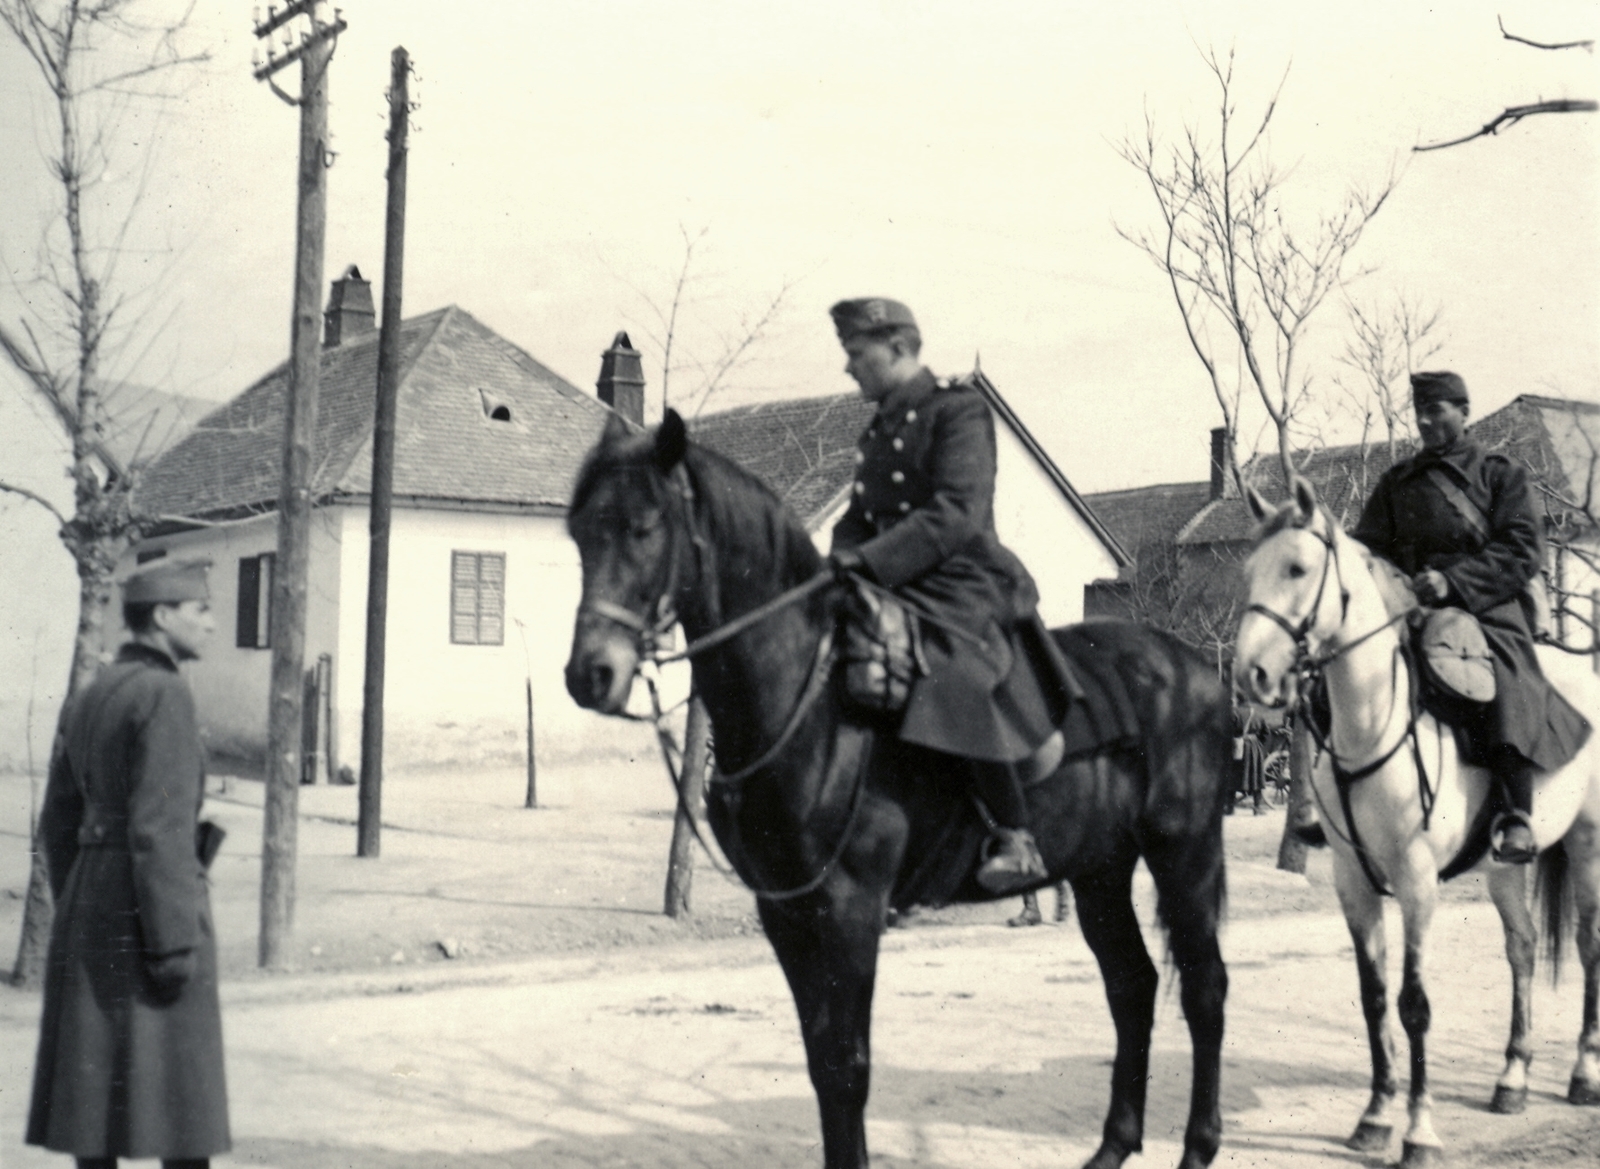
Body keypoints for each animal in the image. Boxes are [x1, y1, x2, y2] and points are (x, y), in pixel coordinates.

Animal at [569, 412, 1228, 1169]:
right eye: (579, 533)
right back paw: (1112, 1147)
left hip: (1183, 853)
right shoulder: (785, 913)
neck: (814, 704)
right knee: (1133, 985)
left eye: (645, 527)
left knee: (1204, 989)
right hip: (1099, 870)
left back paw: (1197, 1147)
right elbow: (821, 1063)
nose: (589, 673)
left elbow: (847, 1066)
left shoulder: (851, 908)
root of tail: (1196, 668)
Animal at [1235, 476, 1600, 1169]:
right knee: (1522, 947)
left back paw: (1584, 1073)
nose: (1252, 675)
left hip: (1591, 846)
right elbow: (1375, 997)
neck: (1371, 725)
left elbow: (1414, 1005)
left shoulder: (1417, 882)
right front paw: (1376, 1117)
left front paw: (1419, 1131)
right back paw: (1512, 1077)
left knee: (1590, 947)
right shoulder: (1353, 882)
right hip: (1503, 867)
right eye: (1249, 569)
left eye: (1297, 568)